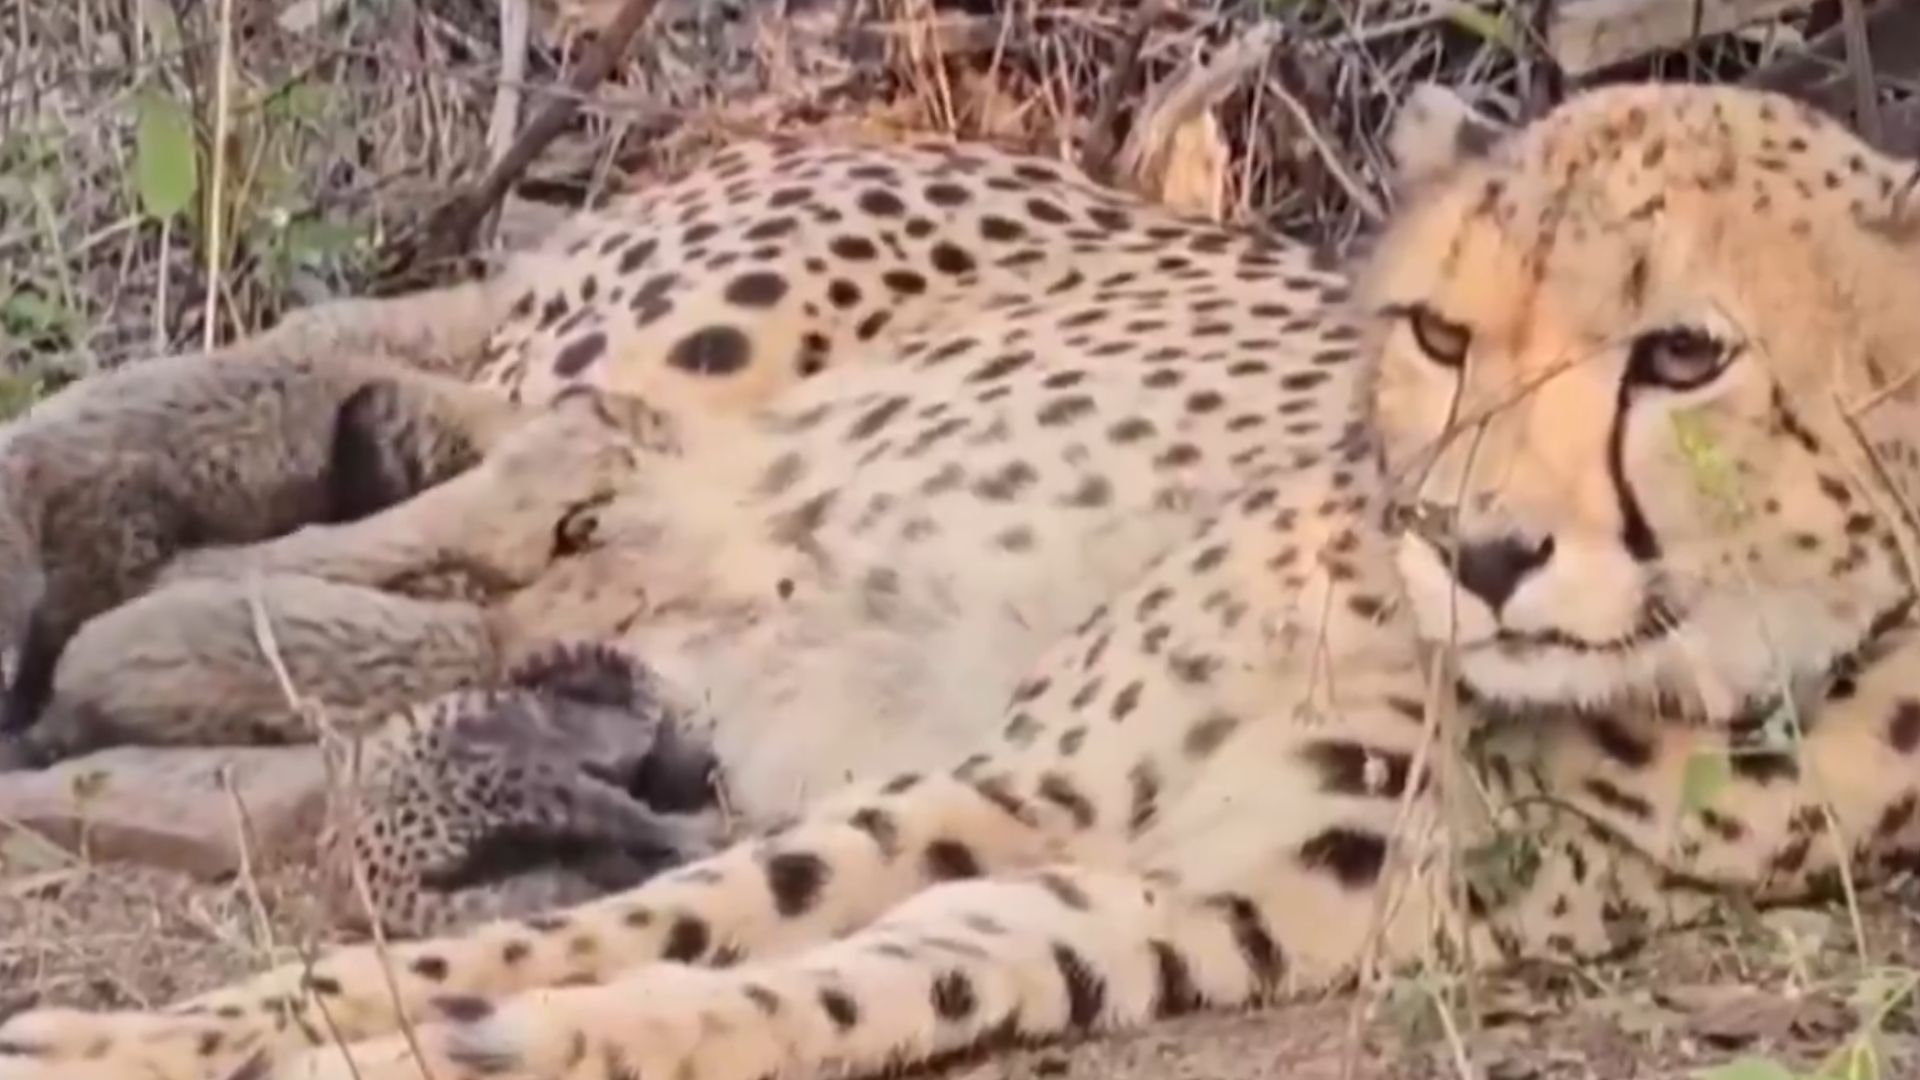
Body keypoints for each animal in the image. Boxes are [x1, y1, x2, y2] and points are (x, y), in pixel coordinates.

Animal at [9, 78, 1920, 1080]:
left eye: (1685, 357)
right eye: (1443, 335)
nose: (1480, 551)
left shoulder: (1143, 906)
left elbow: (752, 986)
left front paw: (474, 1029)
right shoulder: (1009, 783)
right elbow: (603, 929)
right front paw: (142, 1039)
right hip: (700, 364)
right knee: (494, 460)